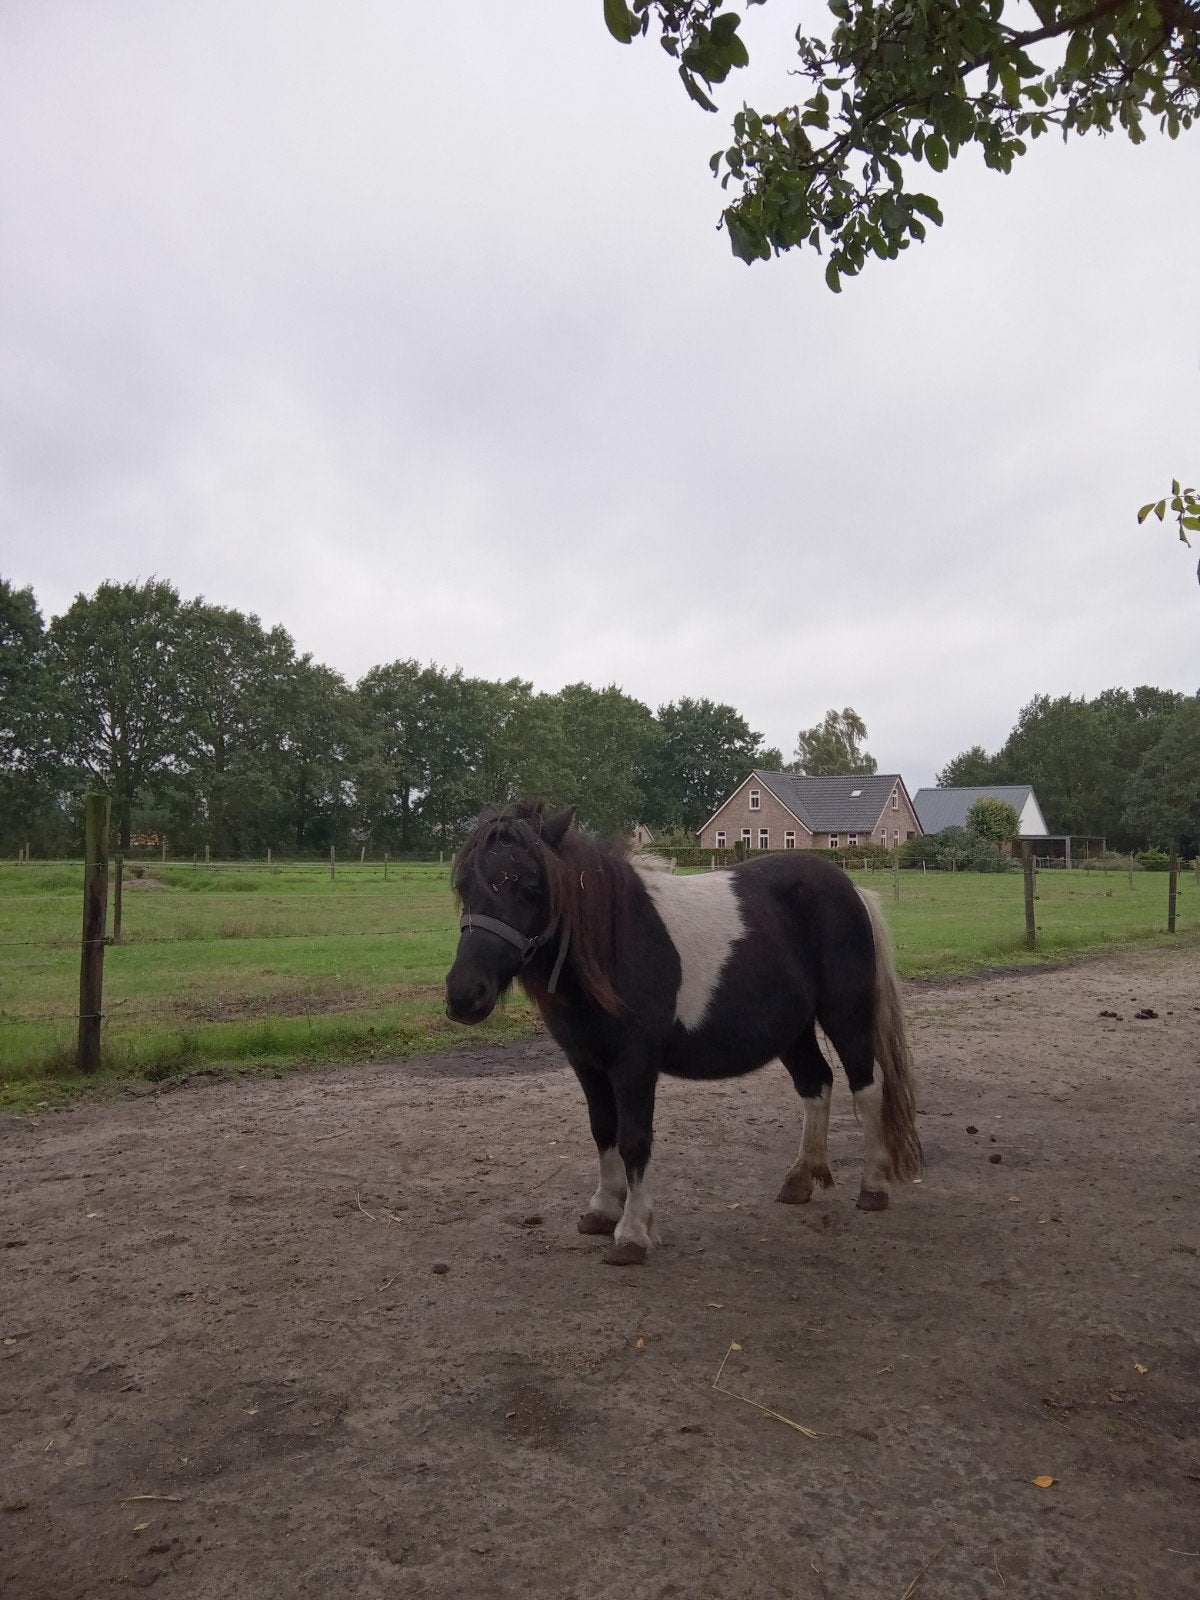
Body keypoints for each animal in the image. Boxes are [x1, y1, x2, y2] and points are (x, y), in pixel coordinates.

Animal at [445, 802, 923, 1266]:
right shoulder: (586, 1063)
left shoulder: (635, 1064)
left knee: (867, 1088)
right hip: (793, 1031)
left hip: (847, 1016)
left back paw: (873, 1186)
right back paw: (801, 1179)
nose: (464, 995)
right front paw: (603, 1209)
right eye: (464, 887)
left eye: (529, 887)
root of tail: (852, 890)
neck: (614, 942)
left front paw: (633, 1232)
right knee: (816, 1084)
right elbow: (603, 1131)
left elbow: (634, 1139)